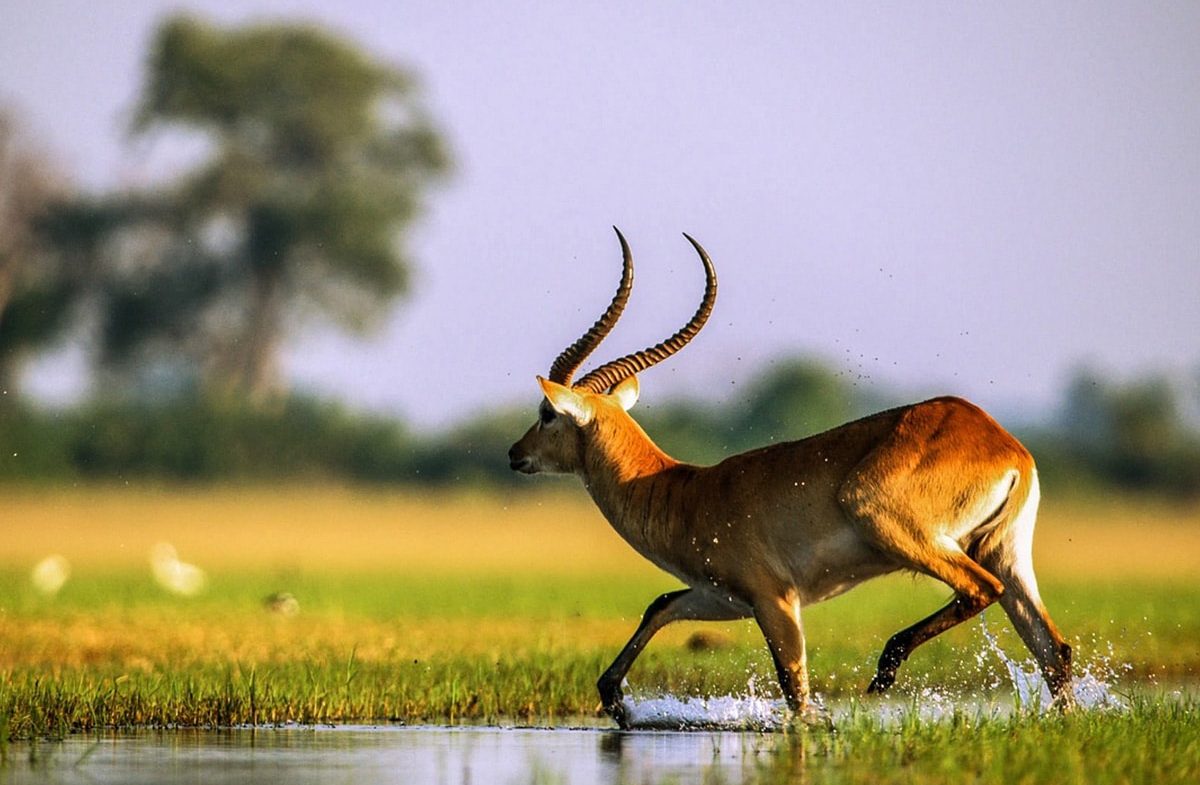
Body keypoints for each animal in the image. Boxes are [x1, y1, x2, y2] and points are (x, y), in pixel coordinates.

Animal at [508, 229, 1073, 727]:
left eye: (546, 412)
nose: (516, 454)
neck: (683, 492)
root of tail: (1003, 445)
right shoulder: (721, 597)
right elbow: (661, 605)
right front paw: (616, 702)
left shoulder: (775, 600)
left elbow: (795, 690)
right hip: (1004, 551)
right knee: (1054, 649)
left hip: (900, 528)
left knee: (981, 590)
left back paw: (885, 669)